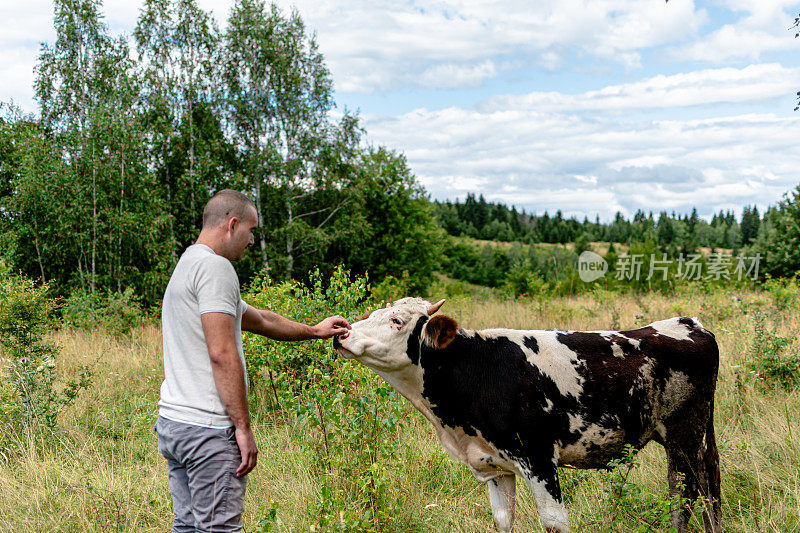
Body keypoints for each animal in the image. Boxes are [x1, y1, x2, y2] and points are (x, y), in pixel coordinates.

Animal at [334, 298, 720, 532]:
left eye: (397, 321)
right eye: (369, 315)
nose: (341, 334)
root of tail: (688, 324)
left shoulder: (539, 459)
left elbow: (554, 521)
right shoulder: (494, 466)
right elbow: (503, 520)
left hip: (683, 436)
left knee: (684, 497)